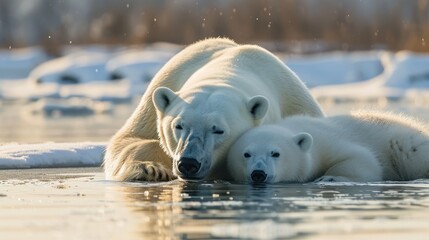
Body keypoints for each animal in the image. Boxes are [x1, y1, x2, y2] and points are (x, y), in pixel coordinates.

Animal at [104, 38, 324, 182]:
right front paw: (150, 169)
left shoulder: (293, 100)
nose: (188, 163)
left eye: (218, 130)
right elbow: (130, 139)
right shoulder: (167, 81)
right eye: (178, 126)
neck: (230, 68)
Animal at [229, 110, 428, 184]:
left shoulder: (328, 141)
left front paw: (329, 177)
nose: (258, 173)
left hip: (403, 144)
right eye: (246, 154)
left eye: (275, 153)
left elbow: (363, 159)